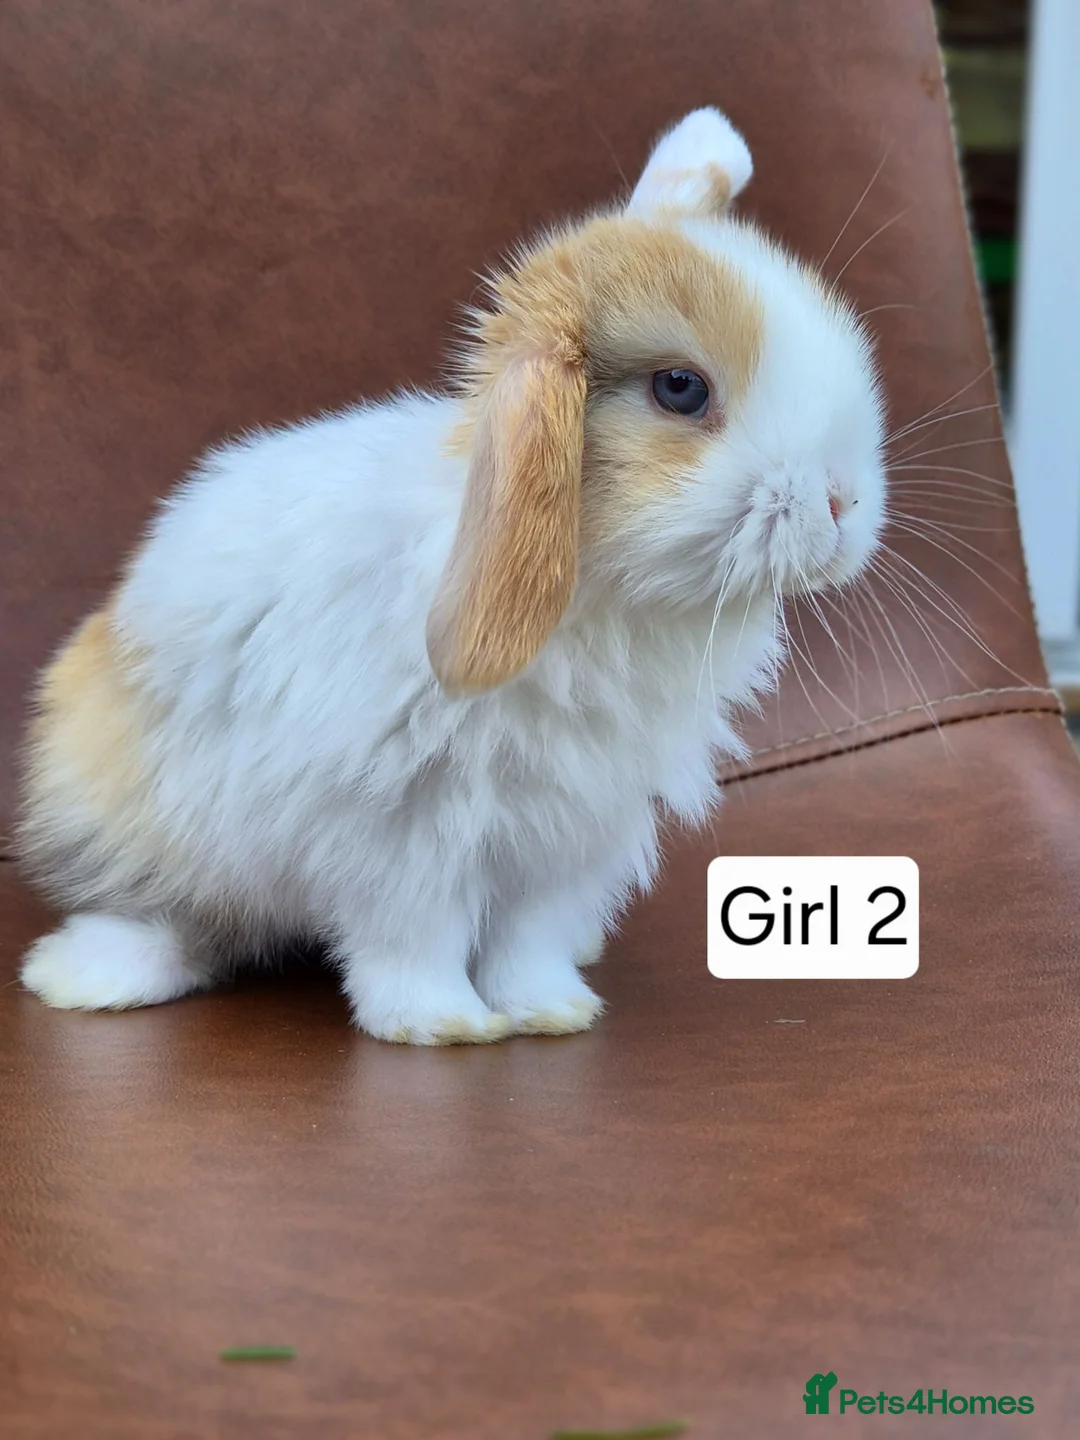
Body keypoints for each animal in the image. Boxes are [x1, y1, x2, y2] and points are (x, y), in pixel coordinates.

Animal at [15, 107, 887, 1044]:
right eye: (681, 389)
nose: (843, 500)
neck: (601, 597)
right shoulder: (401, 832)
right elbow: (413, 938)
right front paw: (444, 1027)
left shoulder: (571, 833)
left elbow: (527, 939)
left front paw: (552, 1011)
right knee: (174, 915)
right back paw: (87, 977)